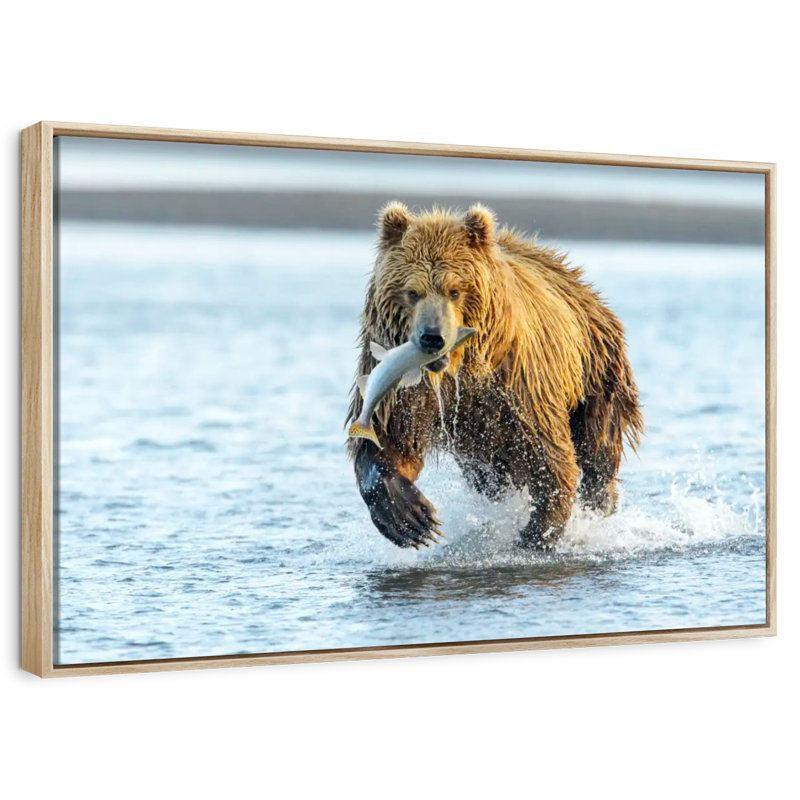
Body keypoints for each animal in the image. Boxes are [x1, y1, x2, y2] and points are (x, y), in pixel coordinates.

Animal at [346, 202, 643, 550]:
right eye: (412, 291)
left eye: (455, 290)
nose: (432, 337)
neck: (458, 371)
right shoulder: (404, 390)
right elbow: (391, 442)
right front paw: (412, 518)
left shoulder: (520, 384)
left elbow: (549, 455)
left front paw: (536, 533)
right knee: (489, 476)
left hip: (596, 368)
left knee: (599, 444)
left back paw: (600, 502)